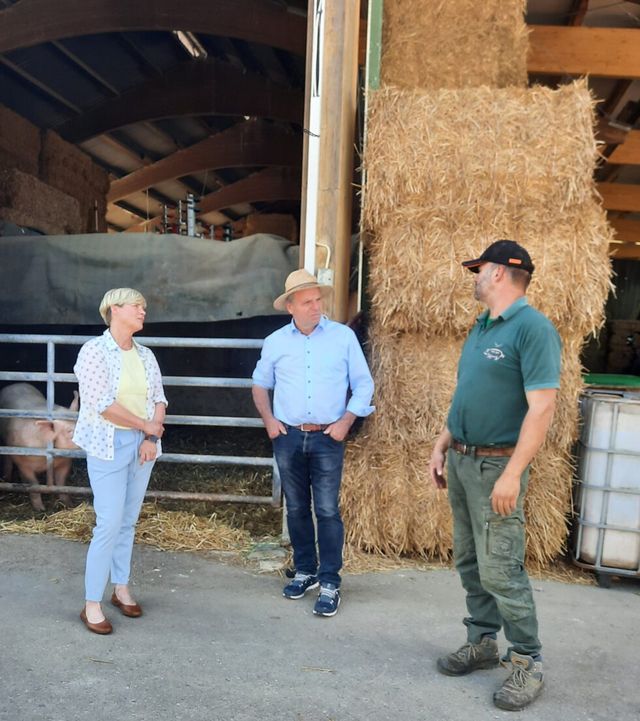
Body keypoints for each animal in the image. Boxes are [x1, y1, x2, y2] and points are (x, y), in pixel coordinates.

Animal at [0, 382, 79, 512]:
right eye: (69, 431)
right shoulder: (23, 463)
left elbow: (61, 483)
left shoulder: (65, 462)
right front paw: (40, 509)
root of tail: (15, 384)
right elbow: (34, 484)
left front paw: (69, 505)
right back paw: (8, 479)